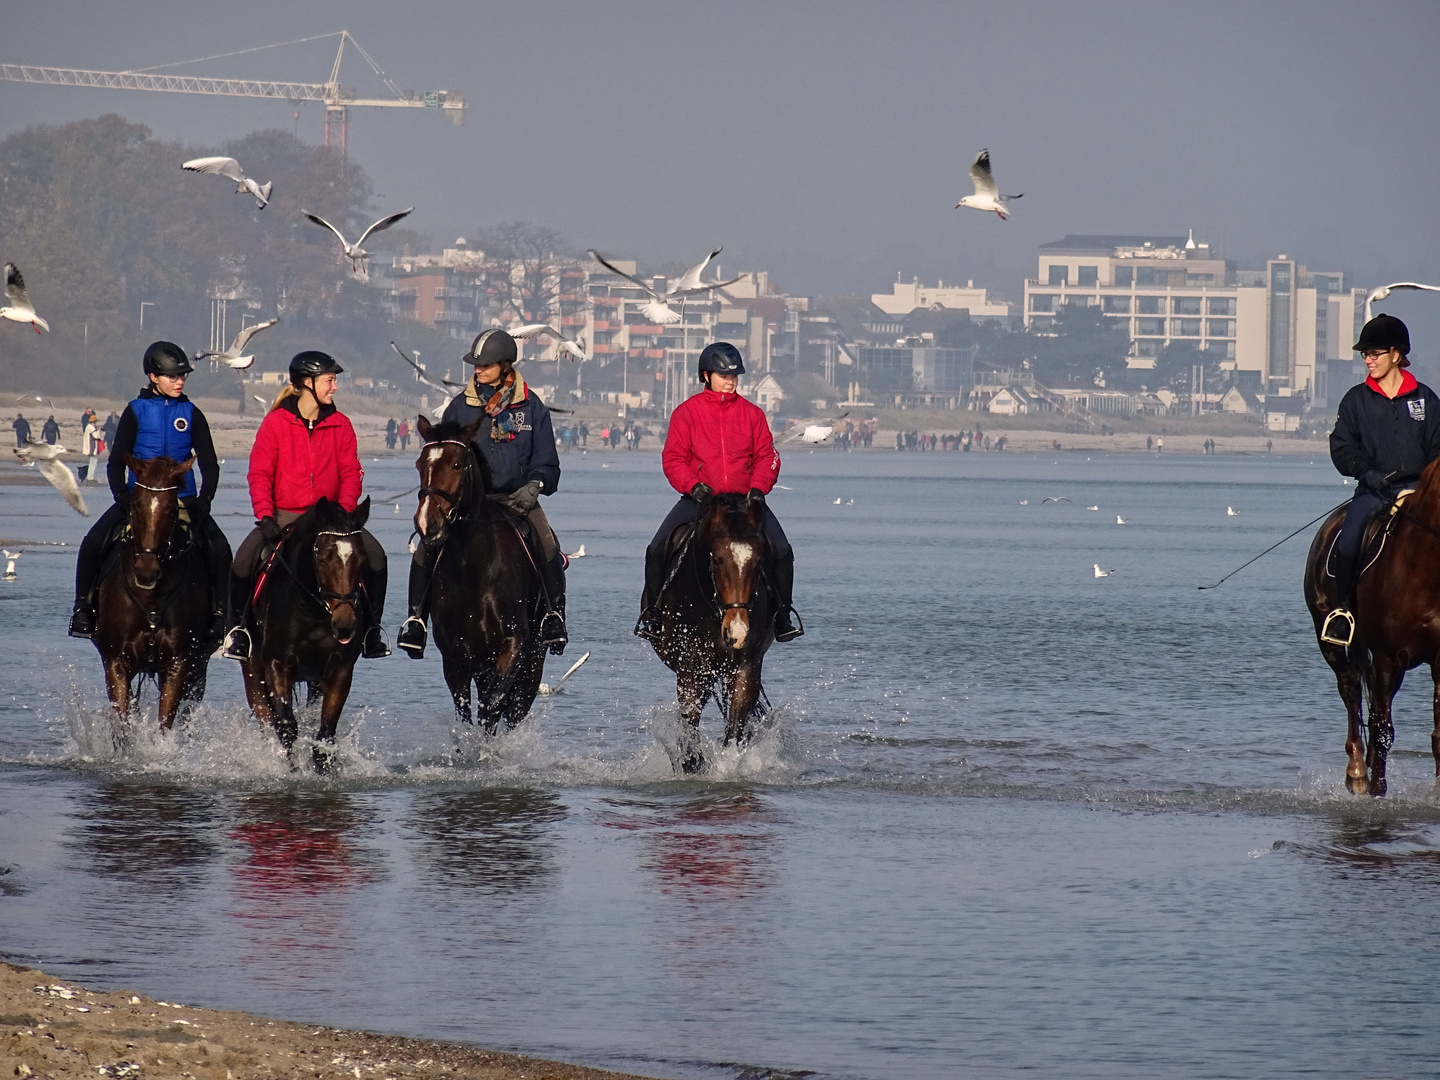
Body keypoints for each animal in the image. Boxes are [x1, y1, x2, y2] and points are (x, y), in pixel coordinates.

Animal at [90, 452, 210, 743]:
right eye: (136, 504)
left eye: (171, 508)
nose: (146, 571)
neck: (150, 599)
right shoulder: (116, 662)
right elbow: (122, 725)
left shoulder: (179, 663)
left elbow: (165, 724)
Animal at [240, 498, 371, 771]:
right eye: (322, 558)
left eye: (361, 559)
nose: (345, 624)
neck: (312, 613)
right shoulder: (277, 665)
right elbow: (286, 727)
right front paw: (291, 769)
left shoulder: (340, 670)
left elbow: (325, 733)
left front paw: (321, 769)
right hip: (252, 668)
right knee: (264, 715)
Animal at [417, 417, 550, 737]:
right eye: (419, 464)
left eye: (456, 464)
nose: (427, 523)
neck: (474, 570)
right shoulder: (455, 657)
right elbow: (466, 713)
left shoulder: (514, 646)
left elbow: (492, 707)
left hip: (533, 662)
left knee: (514, 711)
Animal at [645, 495, 777, 771]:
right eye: (717, 559)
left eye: (758, 562)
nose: (737, 632)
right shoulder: (690, 670)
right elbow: (689, 730)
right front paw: (692, 763)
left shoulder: (746, 668)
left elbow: (734, 731)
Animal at [1313, 455, 1440, 794]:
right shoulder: (1385, 657)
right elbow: (1382, 727)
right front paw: (1377, 789)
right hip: (1331, 643)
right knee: (1351, 691)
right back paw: (1358, 771)